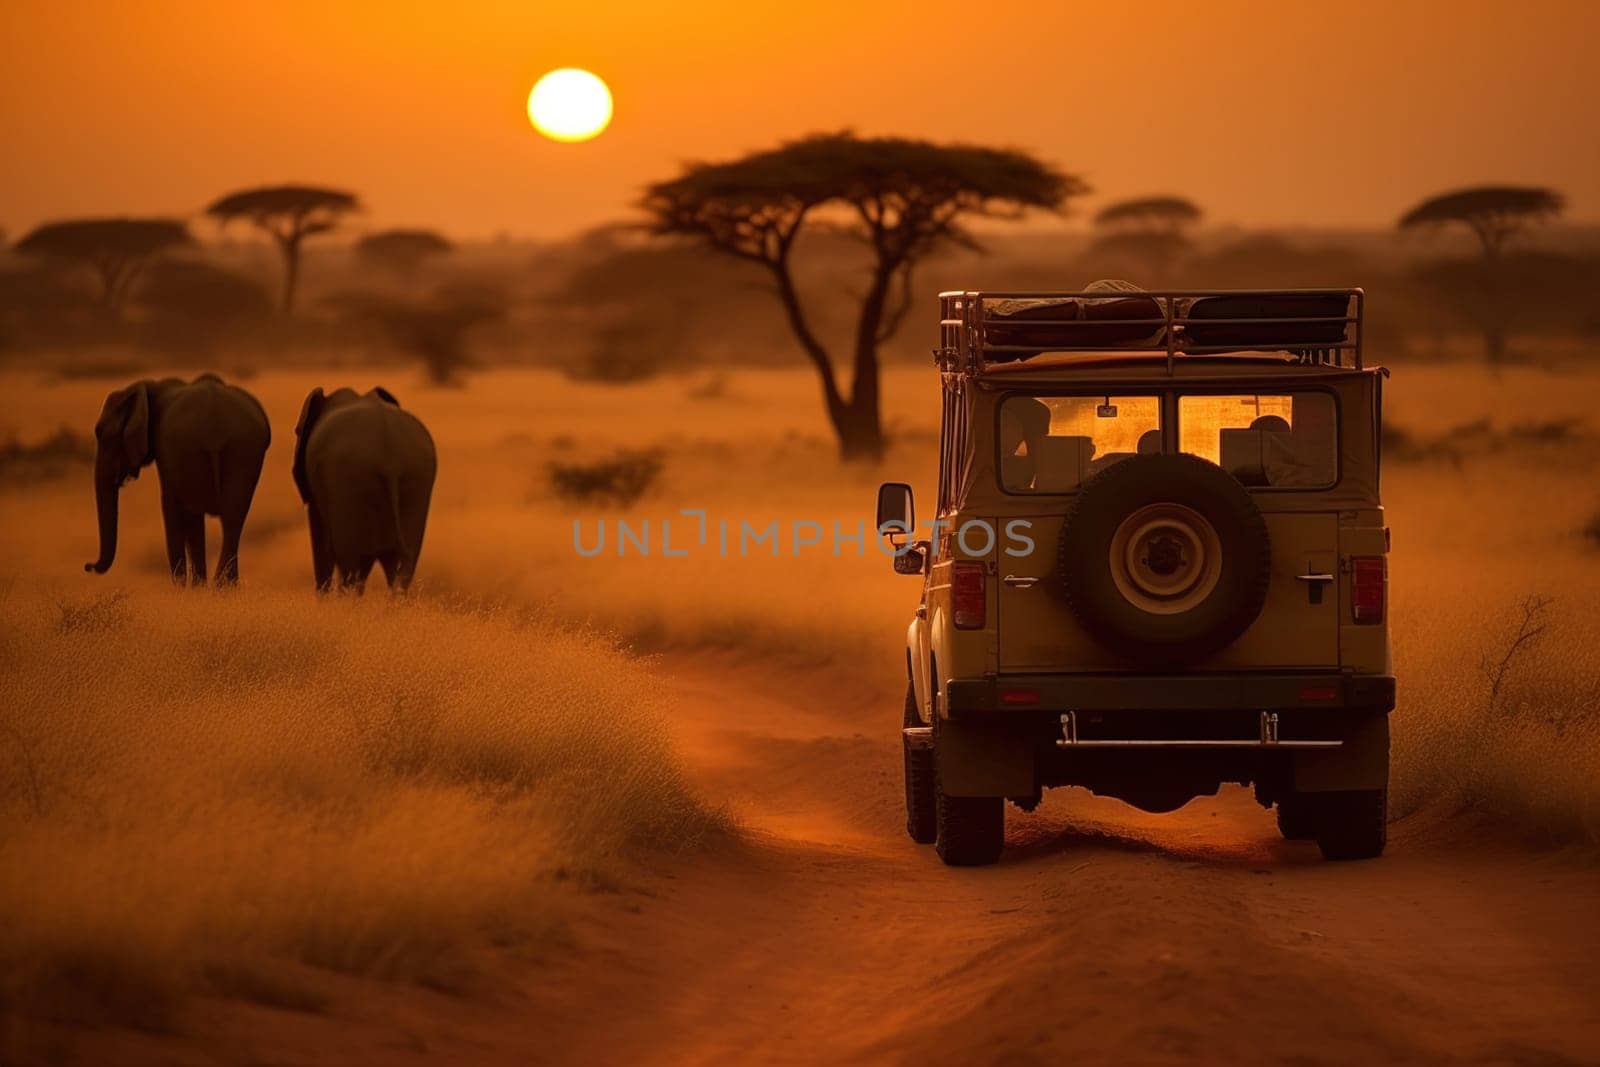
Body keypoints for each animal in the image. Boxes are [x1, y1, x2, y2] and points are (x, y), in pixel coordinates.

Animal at [85, 371, 270, 579]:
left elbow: (170, 508)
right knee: (232, 518)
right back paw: (223, 584)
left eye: (103, 435)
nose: (88, 566)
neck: (151, 387)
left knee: (197, 513)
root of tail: (216, 428)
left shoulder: (166, 452)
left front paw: (183, 585)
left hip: (191, 448)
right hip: (242, 449)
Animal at [291, 388, 435, 598]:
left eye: (296, 431)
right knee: (401, 568)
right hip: (416, 478)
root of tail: (390, 460)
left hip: (350, 484)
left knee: (350, 563)